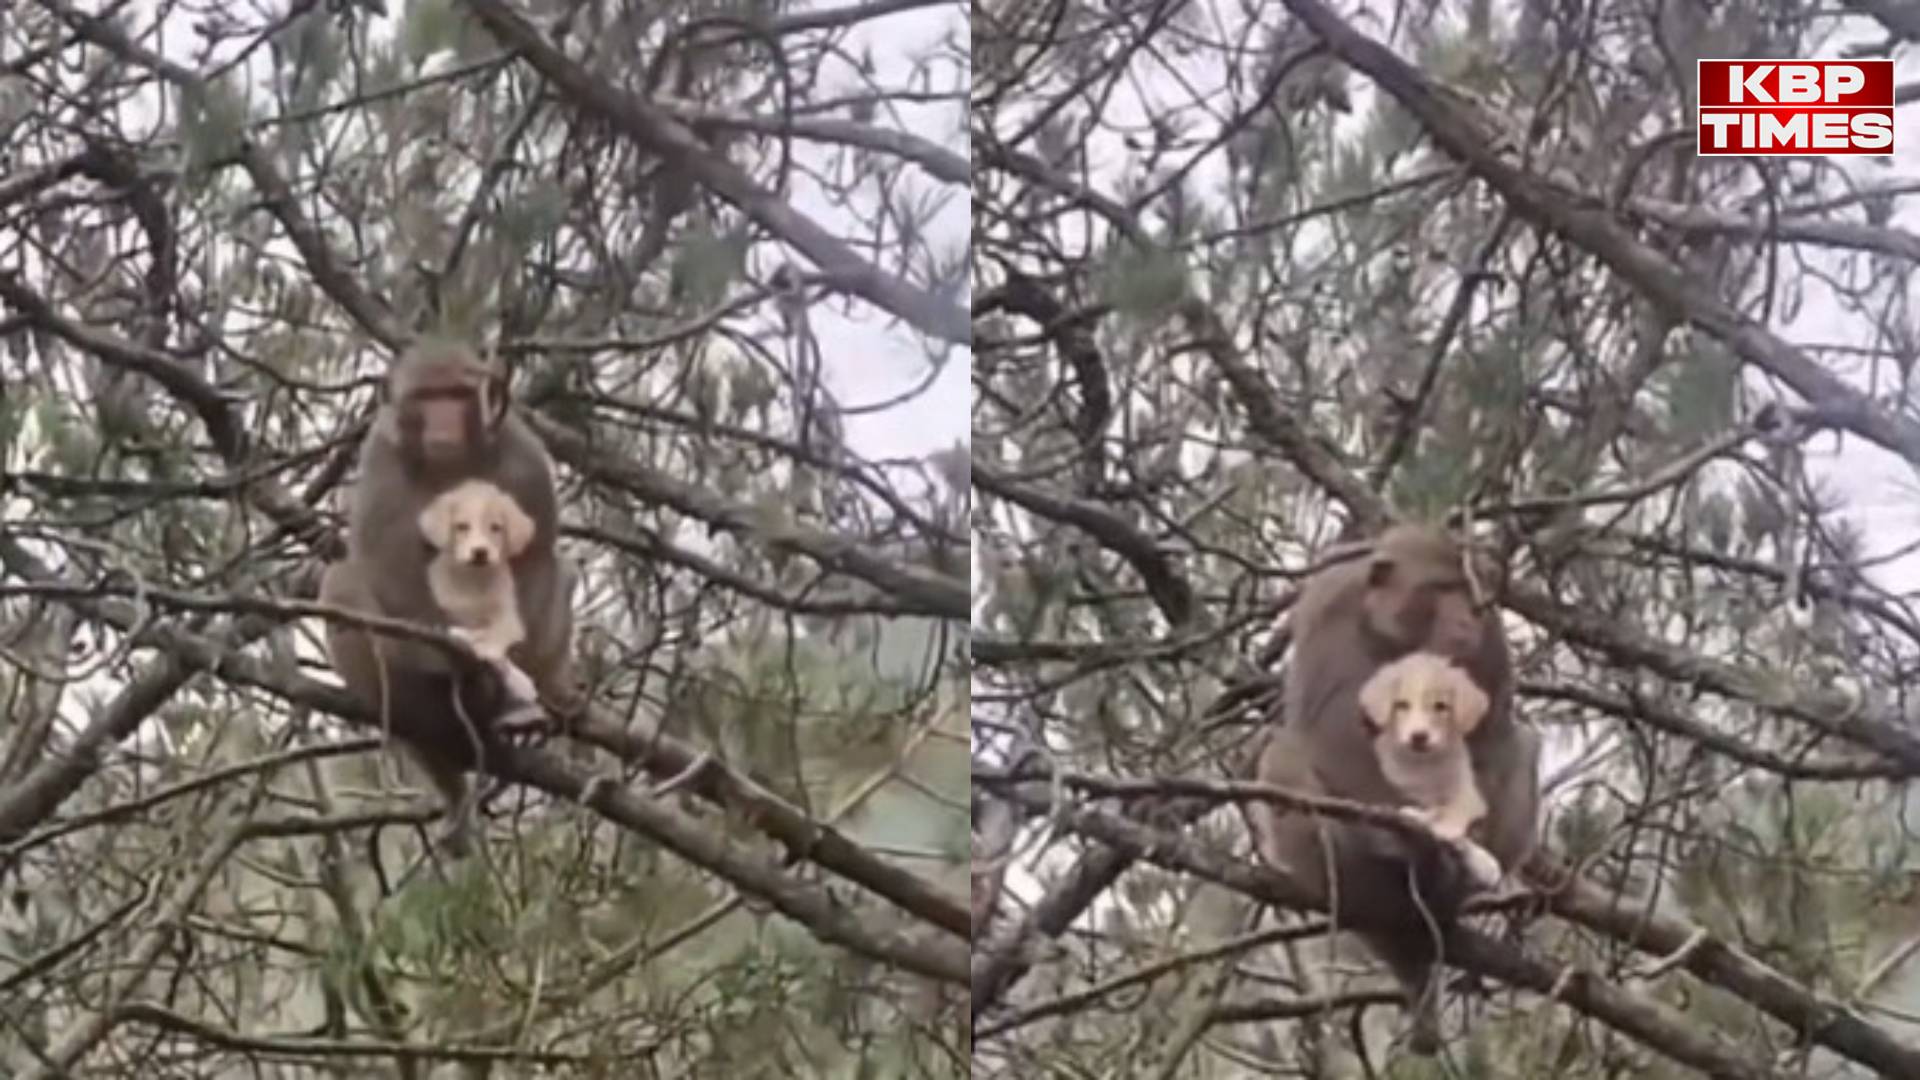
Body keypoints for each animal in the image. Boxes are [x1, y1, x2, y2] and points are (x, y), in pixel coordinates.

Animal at [418, 478, 540, 704]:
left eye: (496, 528)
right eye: (462, 527)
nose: (480, 552)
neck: (473, 579)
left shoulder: (509, 615)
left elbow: (498, 633)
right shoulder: (441, 604)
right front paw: (465, 636)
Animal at [1357, 651, 1503, 886]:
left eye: (1440, 706)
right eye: (1401, 705)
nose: (1419, 736)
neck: (1424, 765)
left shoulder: (1466, 790)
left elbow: (1457, 809)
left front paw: (1482, 860)